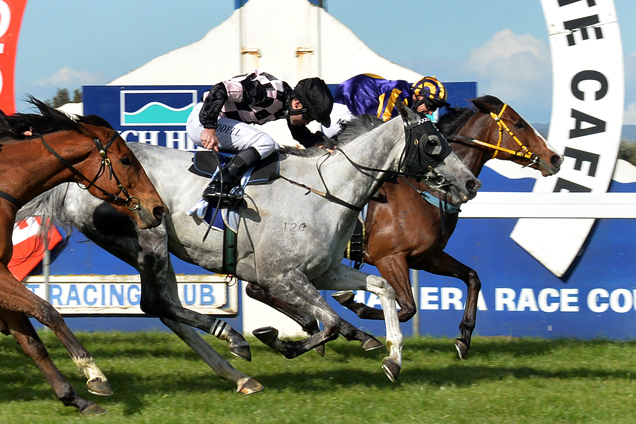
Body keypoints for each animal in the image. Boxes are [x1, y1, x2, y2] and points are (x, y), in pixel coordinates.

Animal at [0, 99, 168, 414]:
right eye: (126, 160)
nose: (158, 209)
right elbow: (48, 311)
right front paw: (94, 374)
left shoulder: (2, 273)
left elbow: (31, 342)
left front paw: (74, 397)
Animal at [17, 102, 480, 390]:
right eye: (433, 143)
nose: (471, 183)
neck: (327, 191)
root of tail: (73, 179)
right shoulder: (284, 275)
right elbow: (329, 322)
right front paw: (279, 341)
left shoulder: (326, 271)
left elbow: (381, 290)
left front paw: (394, 359)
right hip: (149, 237)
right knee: (156, 303)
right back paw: (233, 338)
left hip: (154, 251)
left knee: (167, 309)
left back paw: (238, 375)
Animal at [246, 95, 564, 358]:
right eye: (519, 124)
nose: (556, 158)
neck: (425, 192)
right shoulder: (390, 258)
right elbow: (408, 308)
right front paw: (355, 305)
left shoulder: (426, 257)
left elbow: (472, 277)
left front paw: (464, 338)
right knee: (259, 289)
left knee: (256, 289)